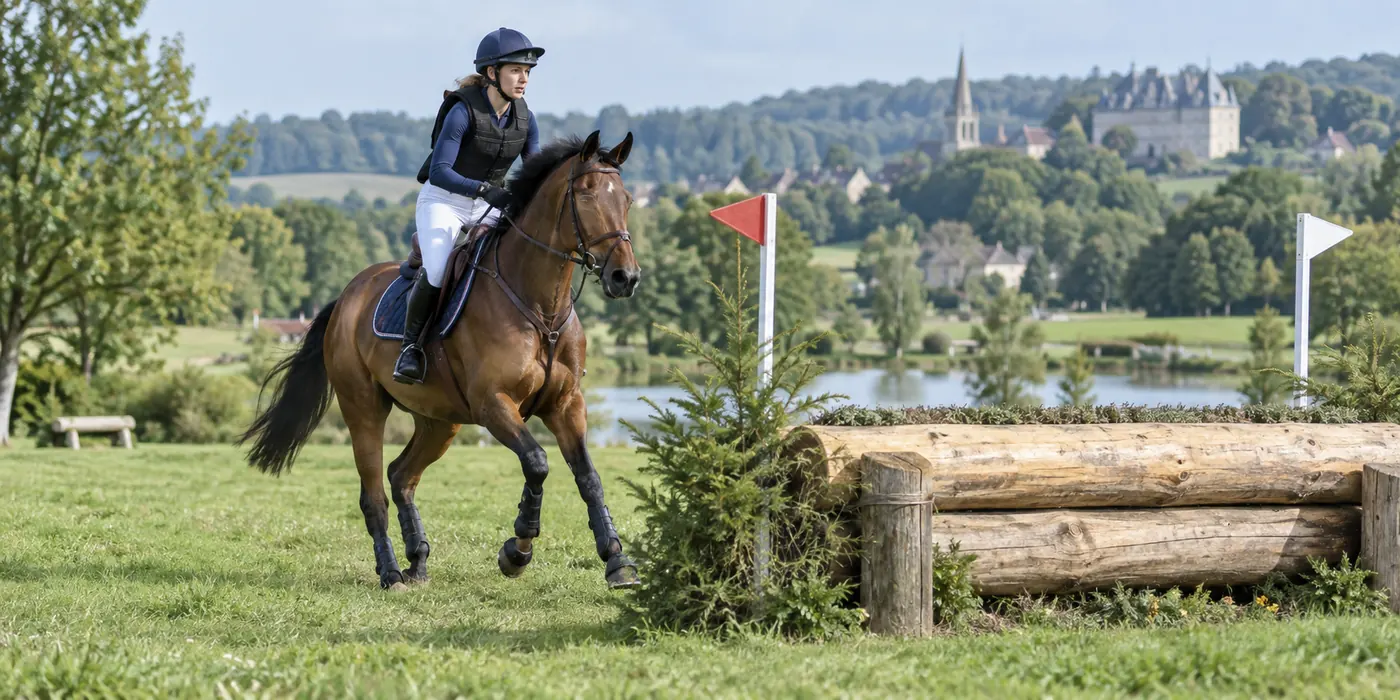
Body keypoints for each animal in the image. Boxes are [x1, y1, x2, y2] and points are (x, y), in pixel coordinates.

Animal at [236, 130, 643, 591]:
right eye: (587, 195)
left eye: (627, 199)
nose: (625, 278)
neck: (542, 308)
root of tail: (346, 297)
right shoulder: (493, 404)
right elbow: (537, 463)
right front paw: (516, 551)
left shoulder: (566, 404)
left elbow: (588, 477)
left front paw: (617, 560)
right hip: (363, 410)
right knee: (373, 493)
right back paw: (391, 572)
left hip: (438, 421)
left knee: (401, 476)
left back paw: (418, 561)